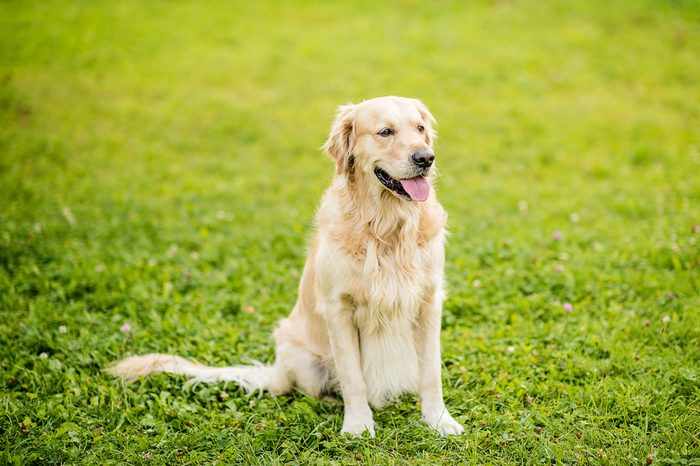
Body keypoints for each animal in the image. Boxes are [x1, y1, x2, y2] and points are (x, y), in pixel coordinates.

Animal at [108, 95, 464, 436]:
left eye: (420, 128)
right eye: (385, 132)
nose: (425, 158)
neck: (386, 228)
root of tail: (275, 372)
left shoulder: (428, 301)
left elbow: (431, 373)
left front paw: (438, 421)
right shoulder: (338, 308)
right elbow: (353, 377)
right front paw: (358, 424)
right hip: (298, 351)